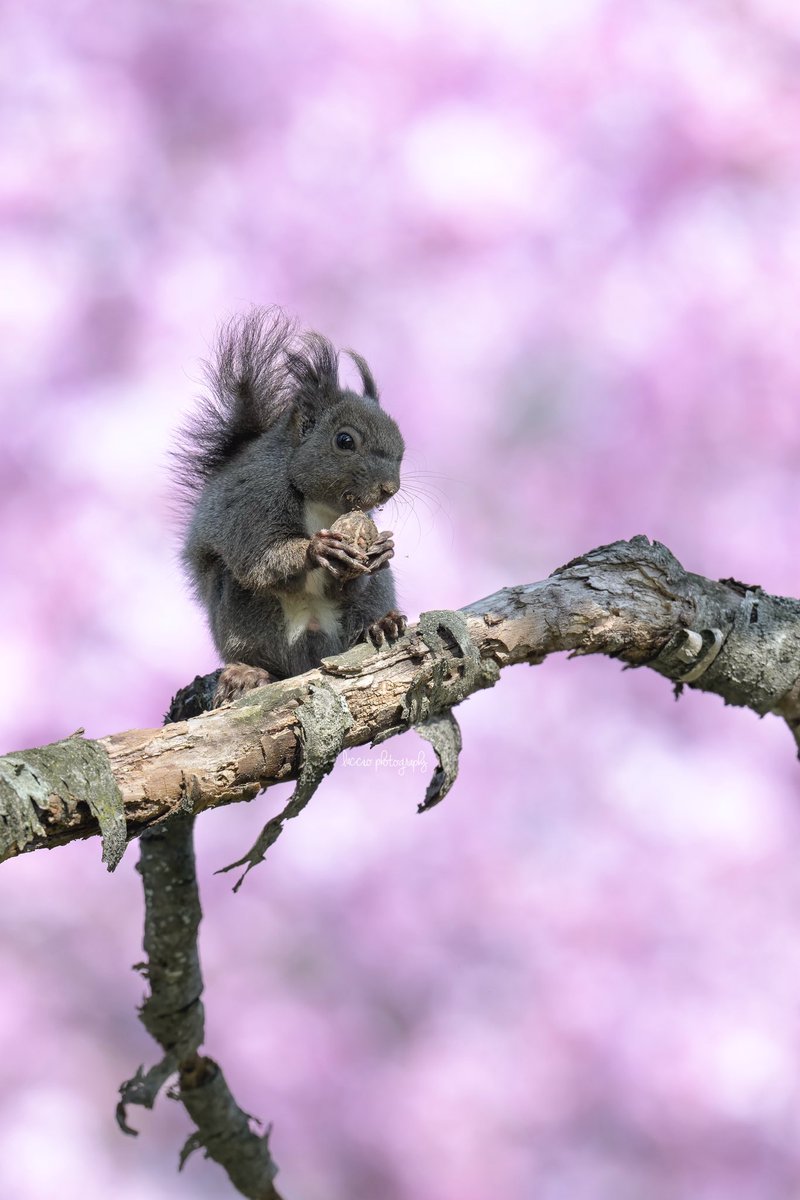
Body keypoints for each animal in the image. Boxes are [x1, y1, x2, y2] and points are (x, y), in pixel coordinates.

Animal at [173, 304, 407, 705]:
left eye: (402, 449)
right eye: (345, 441)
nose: (389, 489)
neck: (319, 503)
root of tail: (312, 651)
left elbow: (351, 578)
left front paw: (383, 549)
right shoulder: (253, 501)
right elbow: (261, 559)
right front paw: (318, 549)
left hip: (368, 601)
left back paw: (381, 623)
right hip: (244, 614)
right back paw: (249, 673)